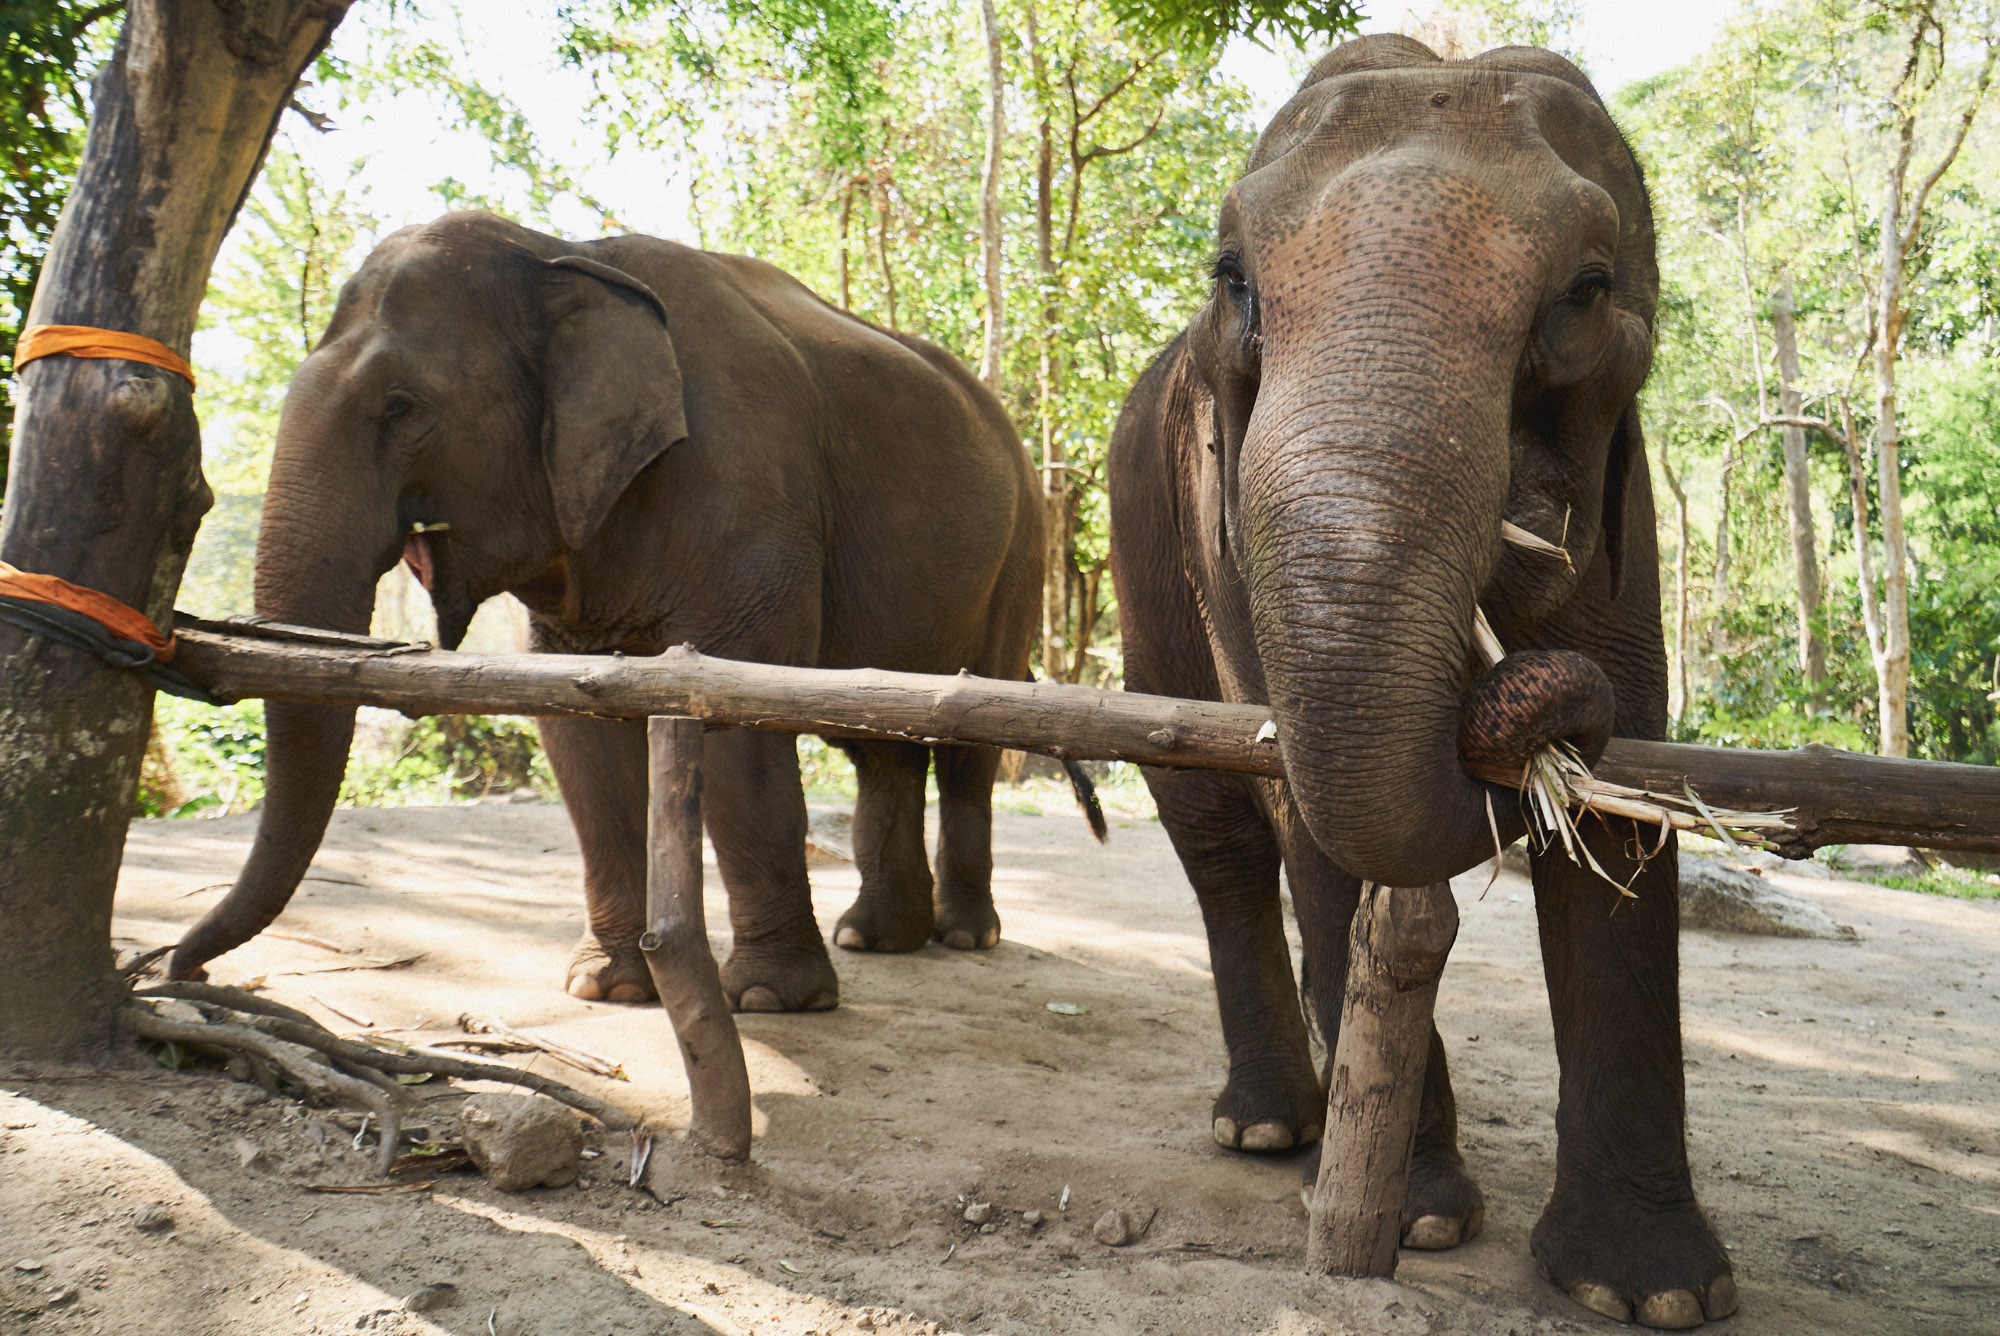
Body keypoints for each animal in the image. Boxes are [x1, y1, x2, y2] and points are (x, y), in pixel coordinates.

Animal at [168, 211, 1096, 1012]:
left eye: (399, 407)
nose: (181, 969)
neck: (562, 252)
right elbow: (577, 732)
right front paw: (607, 988)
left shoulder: (745, 490)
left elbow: (741, 724)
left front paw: (770, 1001)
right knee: (881, 748)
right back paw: (875, 938)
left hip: (1024, 551)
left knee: (966, 745)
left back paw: (964, 937)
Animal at [1112, 36, 1736, 1328]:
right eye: (1232, 277)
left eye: (1585, 288)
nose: (1507, 696)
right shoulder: (1215, 526)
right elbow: (1298, 787)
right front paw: (1415, 1221)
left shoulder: (1626, 512)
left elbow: (1618, 805)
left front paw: (1648, 1290)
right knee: (1216, 832)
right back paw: (1269, 1132)